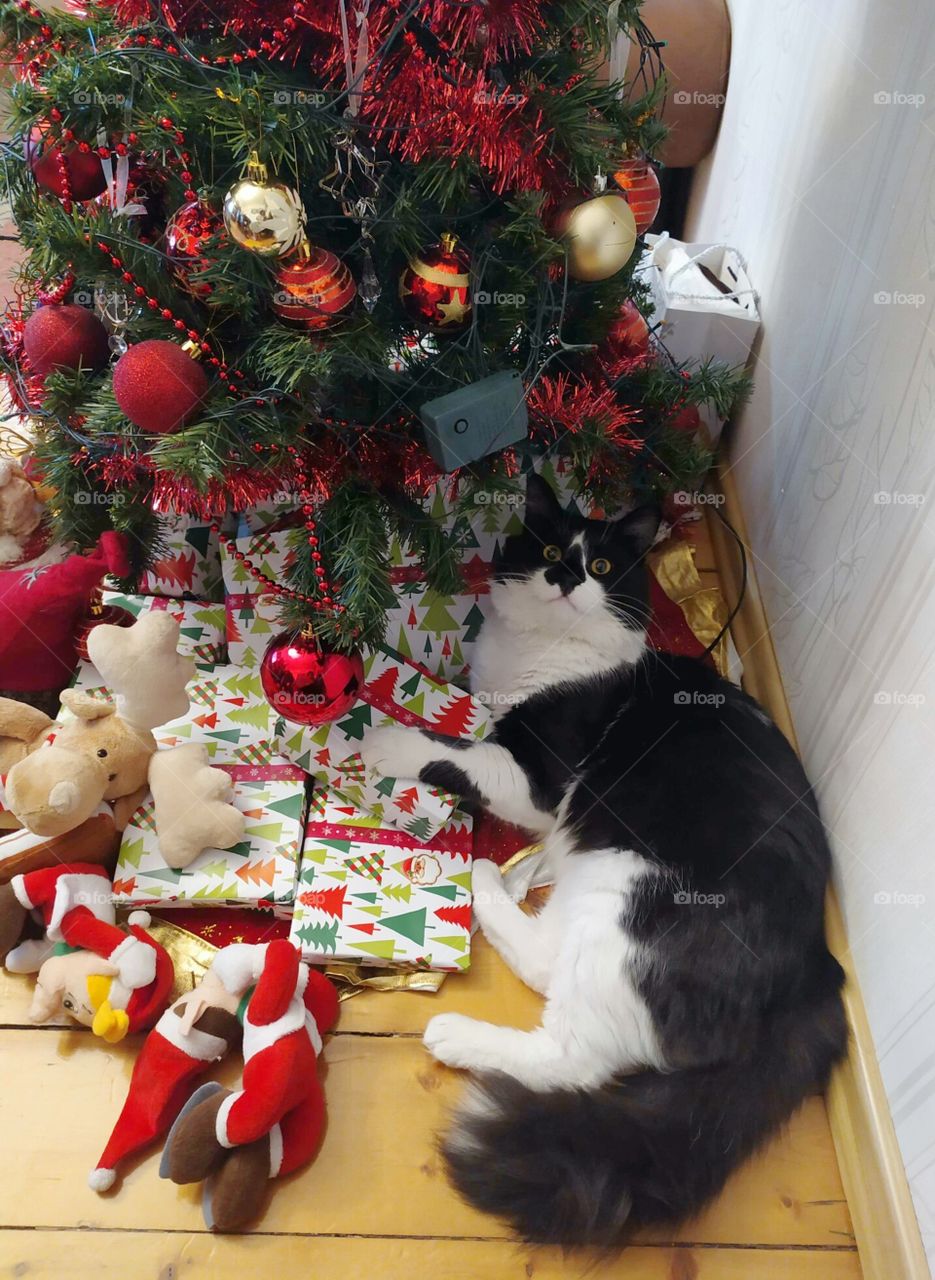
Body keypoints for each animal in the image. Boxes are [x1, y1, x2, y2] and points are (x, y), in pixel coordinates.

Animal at [358, 476, 845, 1244]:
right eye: (551, 550)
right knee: (546, 965)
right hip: (597, 882)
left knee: (572, 1056)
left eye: (604, 566)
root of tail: (817, 971)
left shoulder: (534, 775)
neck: (546, 652)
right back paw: (499, 886)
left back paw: (467, 974)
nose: (565, 576)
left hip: (623, 892)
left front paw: (383, 741)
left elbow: (453, 750)